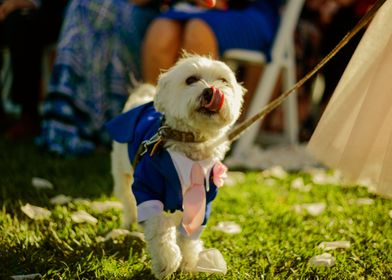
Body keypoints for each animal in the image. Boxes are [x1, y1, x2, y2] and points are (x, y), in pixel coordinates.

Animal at [107, 53, 245, 278]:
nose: (210, 91)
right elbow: (160, 228)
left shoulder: (203, 200)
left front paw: (188, 262)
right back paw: (129, 223)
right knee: (127, 199)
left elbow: (189, 234)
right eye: (191, 80)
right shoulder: (148, 187)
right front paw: (166, 262)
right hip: (122, 170)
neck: (190, 141)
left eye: (223, 81)